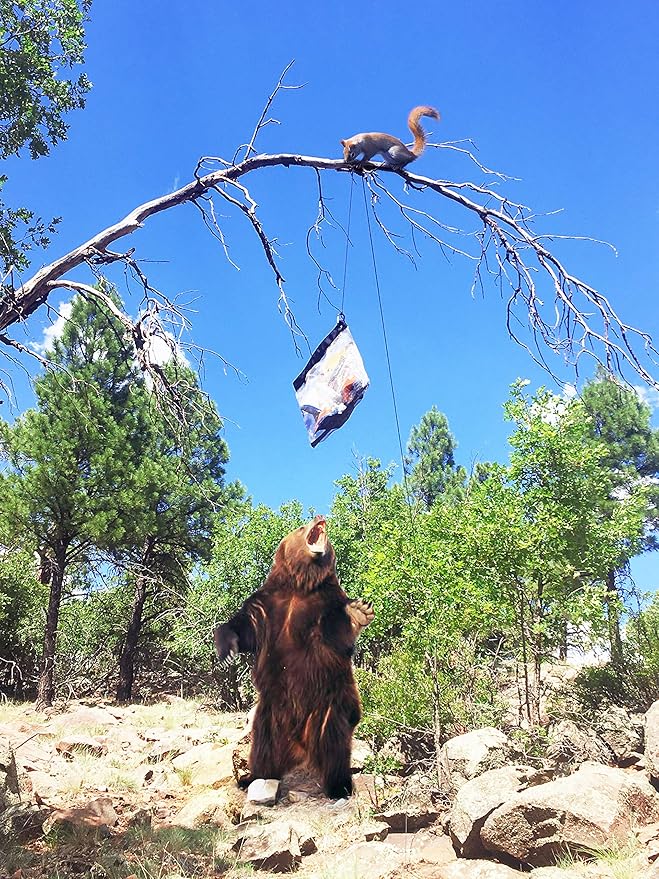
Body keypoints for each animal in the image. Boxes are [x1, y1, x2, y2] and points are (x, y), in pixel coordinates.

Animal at [213, 514, 374, 799]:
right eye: (301, 527)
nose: (320, 517)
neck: (302, 584)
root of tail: (300, 745)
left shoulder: (326, 603)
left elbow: (338, 635)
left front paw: (358, 612)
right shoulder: (268, 605)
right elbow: (243, 626)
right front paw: (226, 650)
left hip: (328, 707)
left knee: (334, 747)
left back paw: (339, 786)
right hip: (270, 714)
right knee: (262, 746)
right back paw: (257, 777)